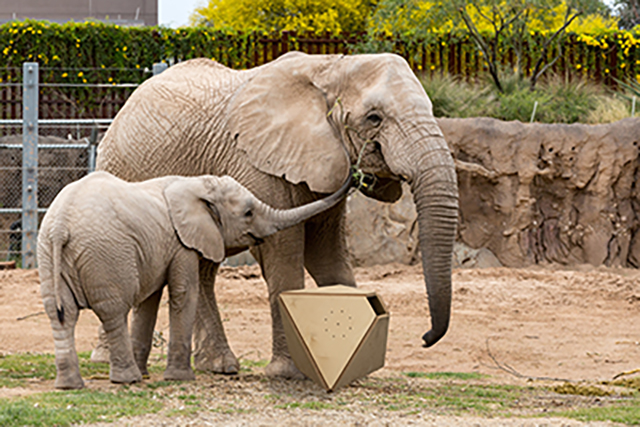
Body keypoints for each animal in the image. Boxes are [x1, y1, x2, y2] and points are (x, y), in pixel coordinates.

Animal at [38, 171, 352, 392]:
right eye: (248, 213)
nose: (356, 175)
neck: (197, 184)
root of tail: (60, 225)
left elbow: (148, 301)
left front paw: (151, 373)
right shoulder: (182, 244)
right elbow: (183, 293)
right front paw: (179, 378)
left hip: (51, 256)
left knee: (61, 315)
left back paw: (70, 385)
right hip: (106, 255)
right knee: (113, 311)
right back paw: (128, 380)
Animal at [95, 52, 458, 378]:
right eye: (374, 118)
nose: (425, 338)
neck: (332, 66)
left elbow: (329, 258)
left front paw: (354, 369)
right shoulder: (258, 162)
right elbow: (284, 256)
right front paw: (288, 373)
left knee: (202, 267)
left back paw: (218, 366)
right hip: (119, 168)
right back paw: (106, 360)